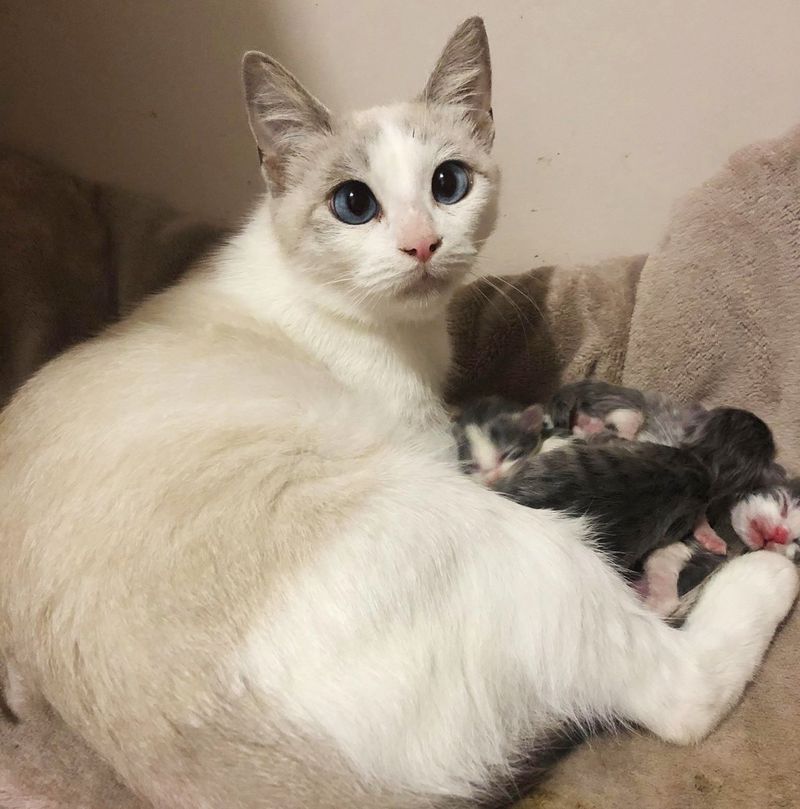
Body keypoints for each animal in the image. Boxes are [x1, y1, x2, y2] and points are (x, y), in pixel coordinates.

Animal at [0, 17, 796, 808]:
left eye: (449, 183)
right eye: (354, 203)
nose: (422, 243)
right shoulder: (433, 440)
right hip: (503, 539)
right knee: (676, 690)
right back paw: (756, 565)